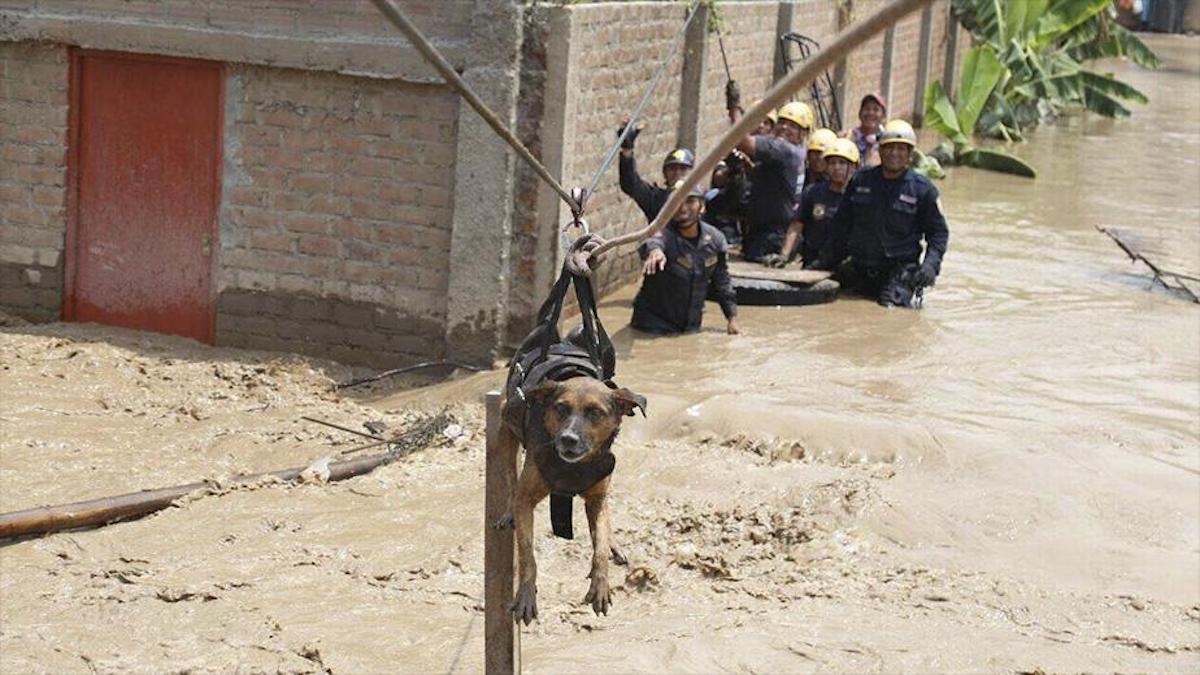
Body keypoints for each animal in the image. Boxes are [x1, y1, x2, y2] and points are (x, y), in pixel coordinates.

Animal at [496, 372, 648, 619]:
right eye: (561, 408)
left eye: (595, 412)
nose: (568, 439)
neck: (573, 467)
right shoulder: (526, 500)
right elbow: (527, 555)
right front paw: (526, 594)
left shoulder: (596, 499)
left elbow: (600, 548)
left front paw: (600, 585)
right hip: (506, 429)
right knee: (510, 479)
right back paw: (509, 512)